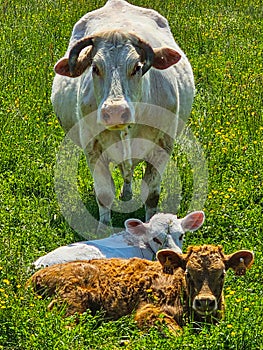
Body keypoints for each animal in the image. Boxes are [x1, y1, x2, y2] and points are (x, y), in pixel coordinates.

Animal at [28, 245, 254, 332]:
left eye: (222, 274)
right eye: (188, 273)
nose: (205, 301)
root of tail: (35, 276)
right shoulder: (148, 311)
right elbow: (178, 333)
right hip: (72, 302)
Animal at [51, 0, 196, 230]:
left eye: (137, 67)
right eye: (95, 67)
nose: (115, 111)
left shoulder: (163, 145)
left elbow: (151, 194)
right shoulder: (93, 147)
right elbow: (104, 194)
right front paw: (103, 230)